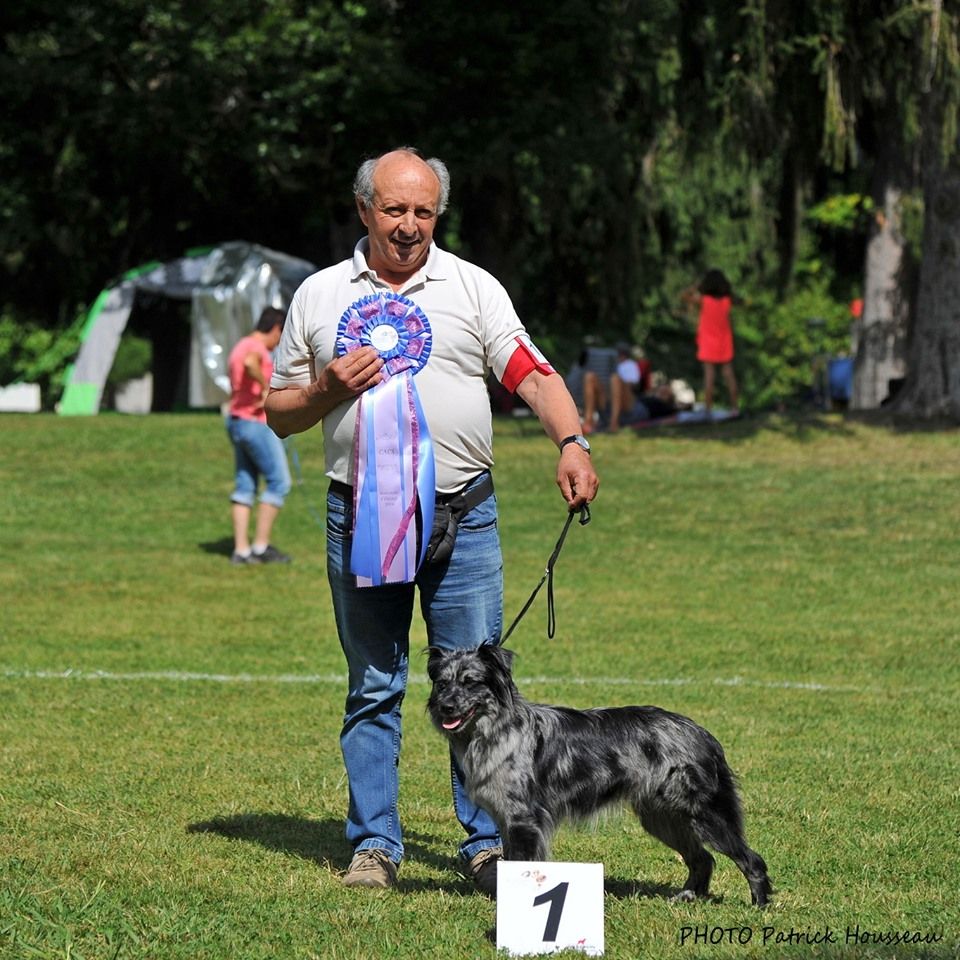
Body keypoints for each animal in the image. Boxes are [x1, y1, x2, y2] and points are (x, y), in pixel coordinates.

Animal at [428, 644, 772, 908]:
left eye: (471, 682)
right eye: (442, 683)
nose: (445, 707)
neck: (496, 729)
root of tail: (703, 734)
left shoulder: (523, 821)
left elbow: (521, 864)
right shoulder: (508, 821)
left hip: (706, 815)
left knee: (750, 860)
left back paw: (759, 905)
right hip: (662, 818)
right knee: (702, 859)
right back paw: (687, 897)